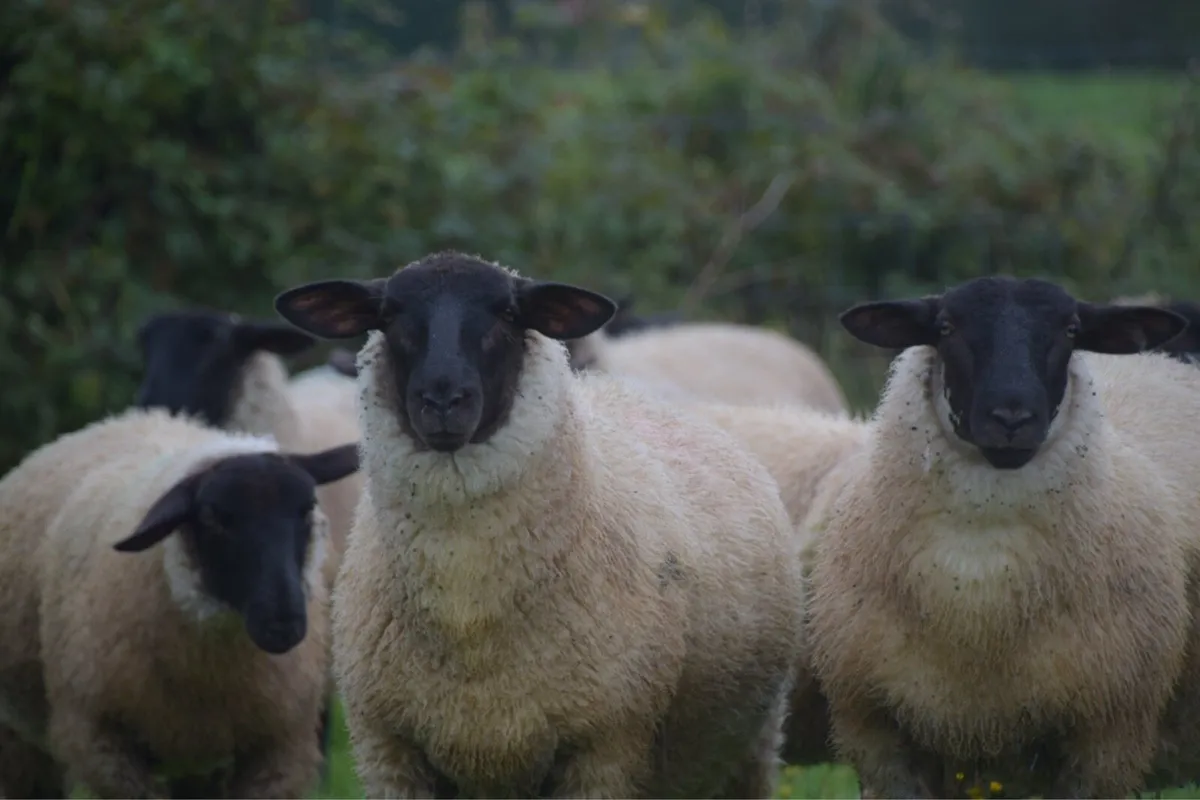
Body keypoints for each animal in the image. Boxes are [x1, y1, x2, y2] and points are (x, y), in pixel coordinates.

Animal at [0, 407, 360, 799]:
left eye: (307, 508)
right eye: (213, 518)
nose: (284, 623)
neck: (213, 675)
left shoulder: (280, 749)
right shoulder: (100, 741)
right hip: (20, 738)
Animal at [273, 250, 806, 799]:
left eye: (509, 313)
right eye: (388, 314)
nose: (442, 399)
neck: (466, 612)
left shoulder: (605, 748)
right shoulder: (389, 751)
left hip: (746, 750)